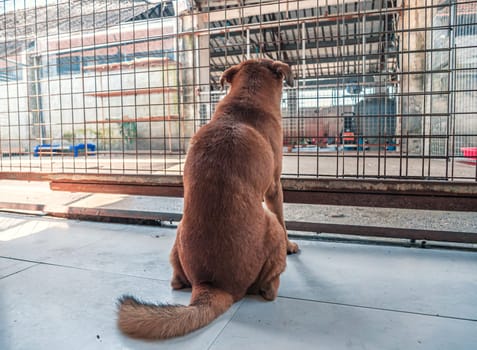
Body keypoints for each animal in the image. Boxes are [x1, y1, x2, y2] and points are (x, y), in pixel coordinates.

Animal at [116, 59, 298, 340]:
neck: (244, 100)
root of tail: (213, 285)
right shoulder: (274, 188)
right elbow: (283, 216)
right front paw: (291, 246)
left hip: (178, 236)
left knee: (176, 281)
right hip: (271, 229)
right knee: (269, 287)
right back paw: (272, 285)